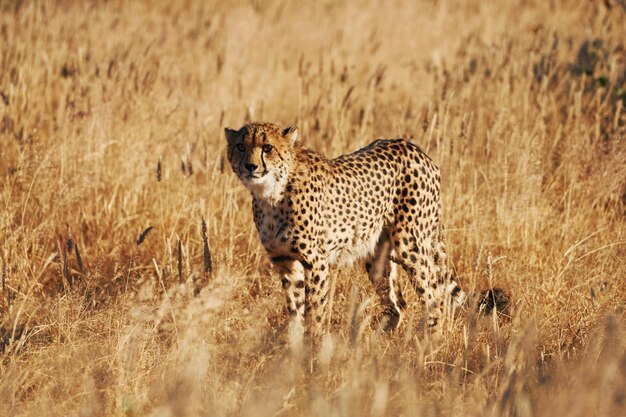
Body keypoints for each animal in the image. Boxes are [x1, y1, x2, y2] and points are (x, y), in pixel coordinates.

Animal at [224, 122, 508, 336]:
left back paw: (428, 345)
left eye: (267, 147)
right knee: (398, 306)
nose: (250, 166)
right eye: (240, 146)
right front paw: (292, 350)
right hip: (378, 257)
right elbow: (295, 309)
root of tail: (413, 147)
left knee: (434, 297)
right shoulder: (285, 261)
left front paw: (313, 349)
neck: (272, 192)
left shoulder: (315, 262)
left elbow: (316, 309)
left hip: (411, 244)